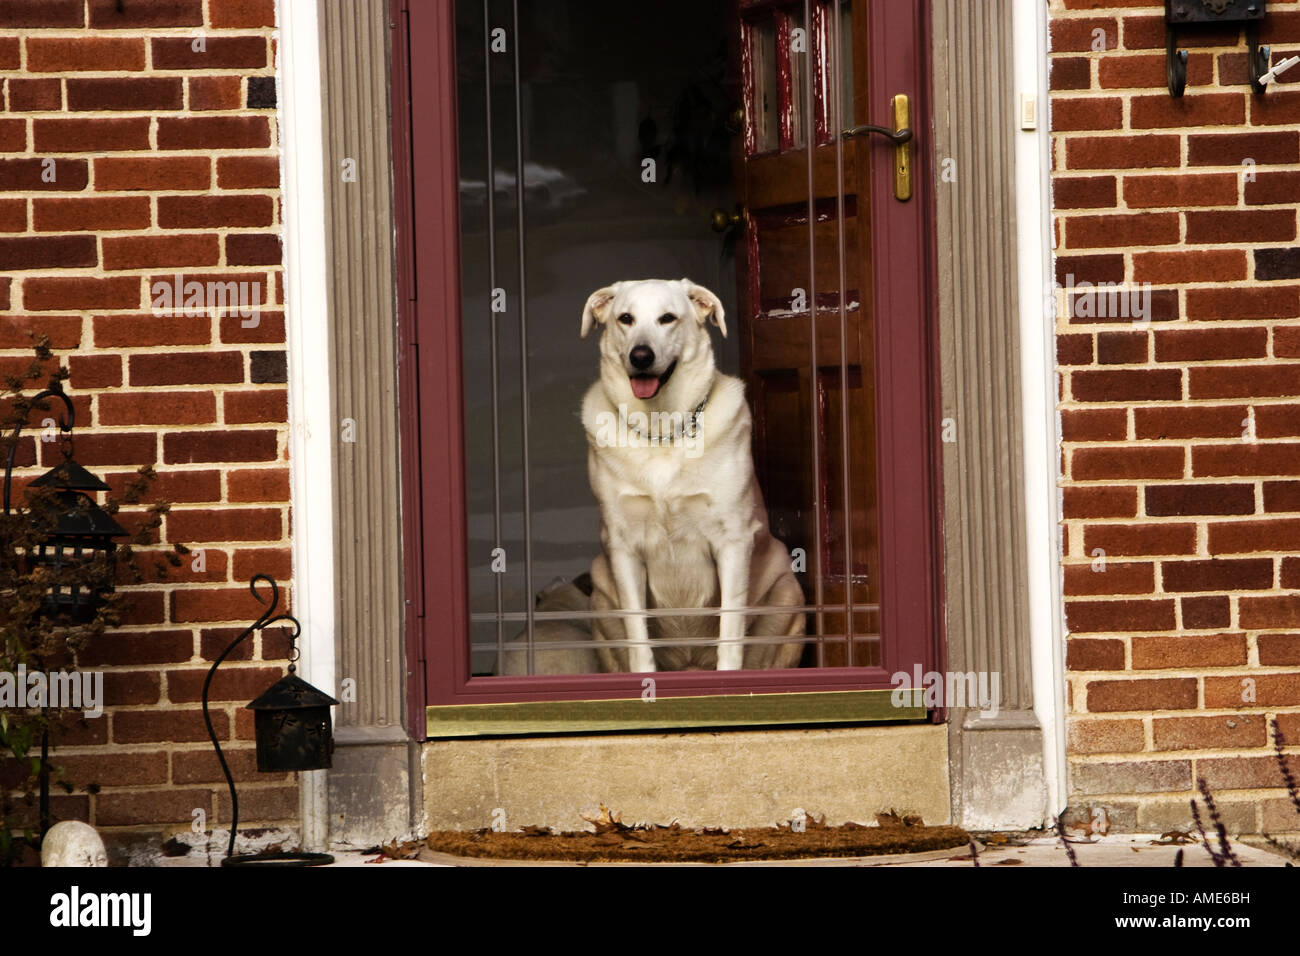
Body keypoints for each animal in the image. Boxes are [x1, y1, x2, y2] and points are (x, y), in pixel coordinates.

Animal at [579, 274, 800, 671]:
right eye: (625, 319)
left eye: (668, 318)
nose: (641, 356)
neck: (661, 429)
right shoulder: (622, 549)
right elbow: (639, 641)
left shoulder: (733, 542)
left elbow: (730, 635)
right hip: (601, 592)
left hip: (790, 593)